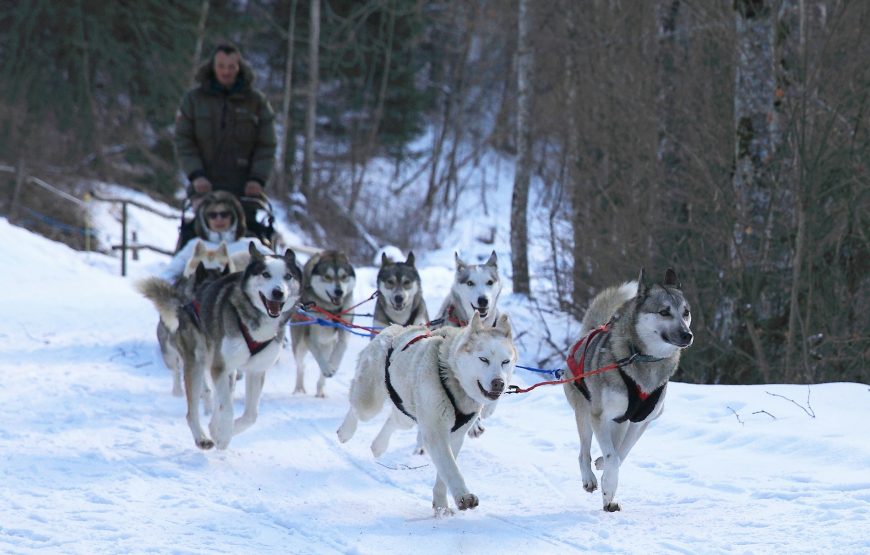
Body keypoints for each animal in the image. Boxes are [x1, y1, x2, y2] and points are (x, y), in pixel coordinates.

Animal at [136, 244, 300, 452]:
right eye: (265, 274)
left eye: (288, 276)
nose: (278, 292)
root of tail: (185, 304)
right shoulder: (220, 367)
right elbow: (227, 408)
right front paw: (222, 435)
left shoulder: (256, 370)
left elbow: (250, 416)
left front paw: (220, 431)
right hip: (196, 363)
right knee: (193, 409)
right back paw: (201, 437)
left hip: (227, 370)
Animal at [292, 250, 356, 398]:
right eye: (327, 277)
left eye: (344, 277)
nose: (339, 291)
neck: (331, 310)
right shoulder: (309, 336)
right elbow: (317, 354)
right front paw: (327, 367)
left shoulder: (345, 329)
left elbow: (341, 347)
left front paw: (333, 365)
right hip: (299, 345)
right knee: (301, 366)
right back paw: (299, 388)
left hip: (327, 343)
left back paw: (320, 389)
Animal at [338, 312, 516, 516]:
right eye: (483, 359)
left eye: (505, 362)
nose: (499, 383)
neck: (454, 381)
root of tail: (394, 329)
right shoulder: (435, 433)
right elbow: (450, 468)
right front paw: (464, 496)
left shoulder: (456, 436)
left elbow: (444, 474)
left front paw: (441, 505)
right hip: (369, 402)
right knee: (356, 407)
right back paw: (345, 432)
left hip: (407, 412)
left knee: (394, 420)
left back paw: (378, 446)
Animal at [564, 270, 696, 512]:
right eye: (664, 312)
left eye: (686, 312)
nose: (687, 334)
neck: (644, 358)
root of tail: (588, 333)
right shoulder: (599, 417)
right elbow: (613, 457)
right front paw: (607, 486)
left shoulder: (641, 421)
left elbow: (621, 453)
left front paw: (606, 474)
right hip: (584, 413)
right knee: (583, 452)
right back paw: (589, 478)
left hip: (620, 422)